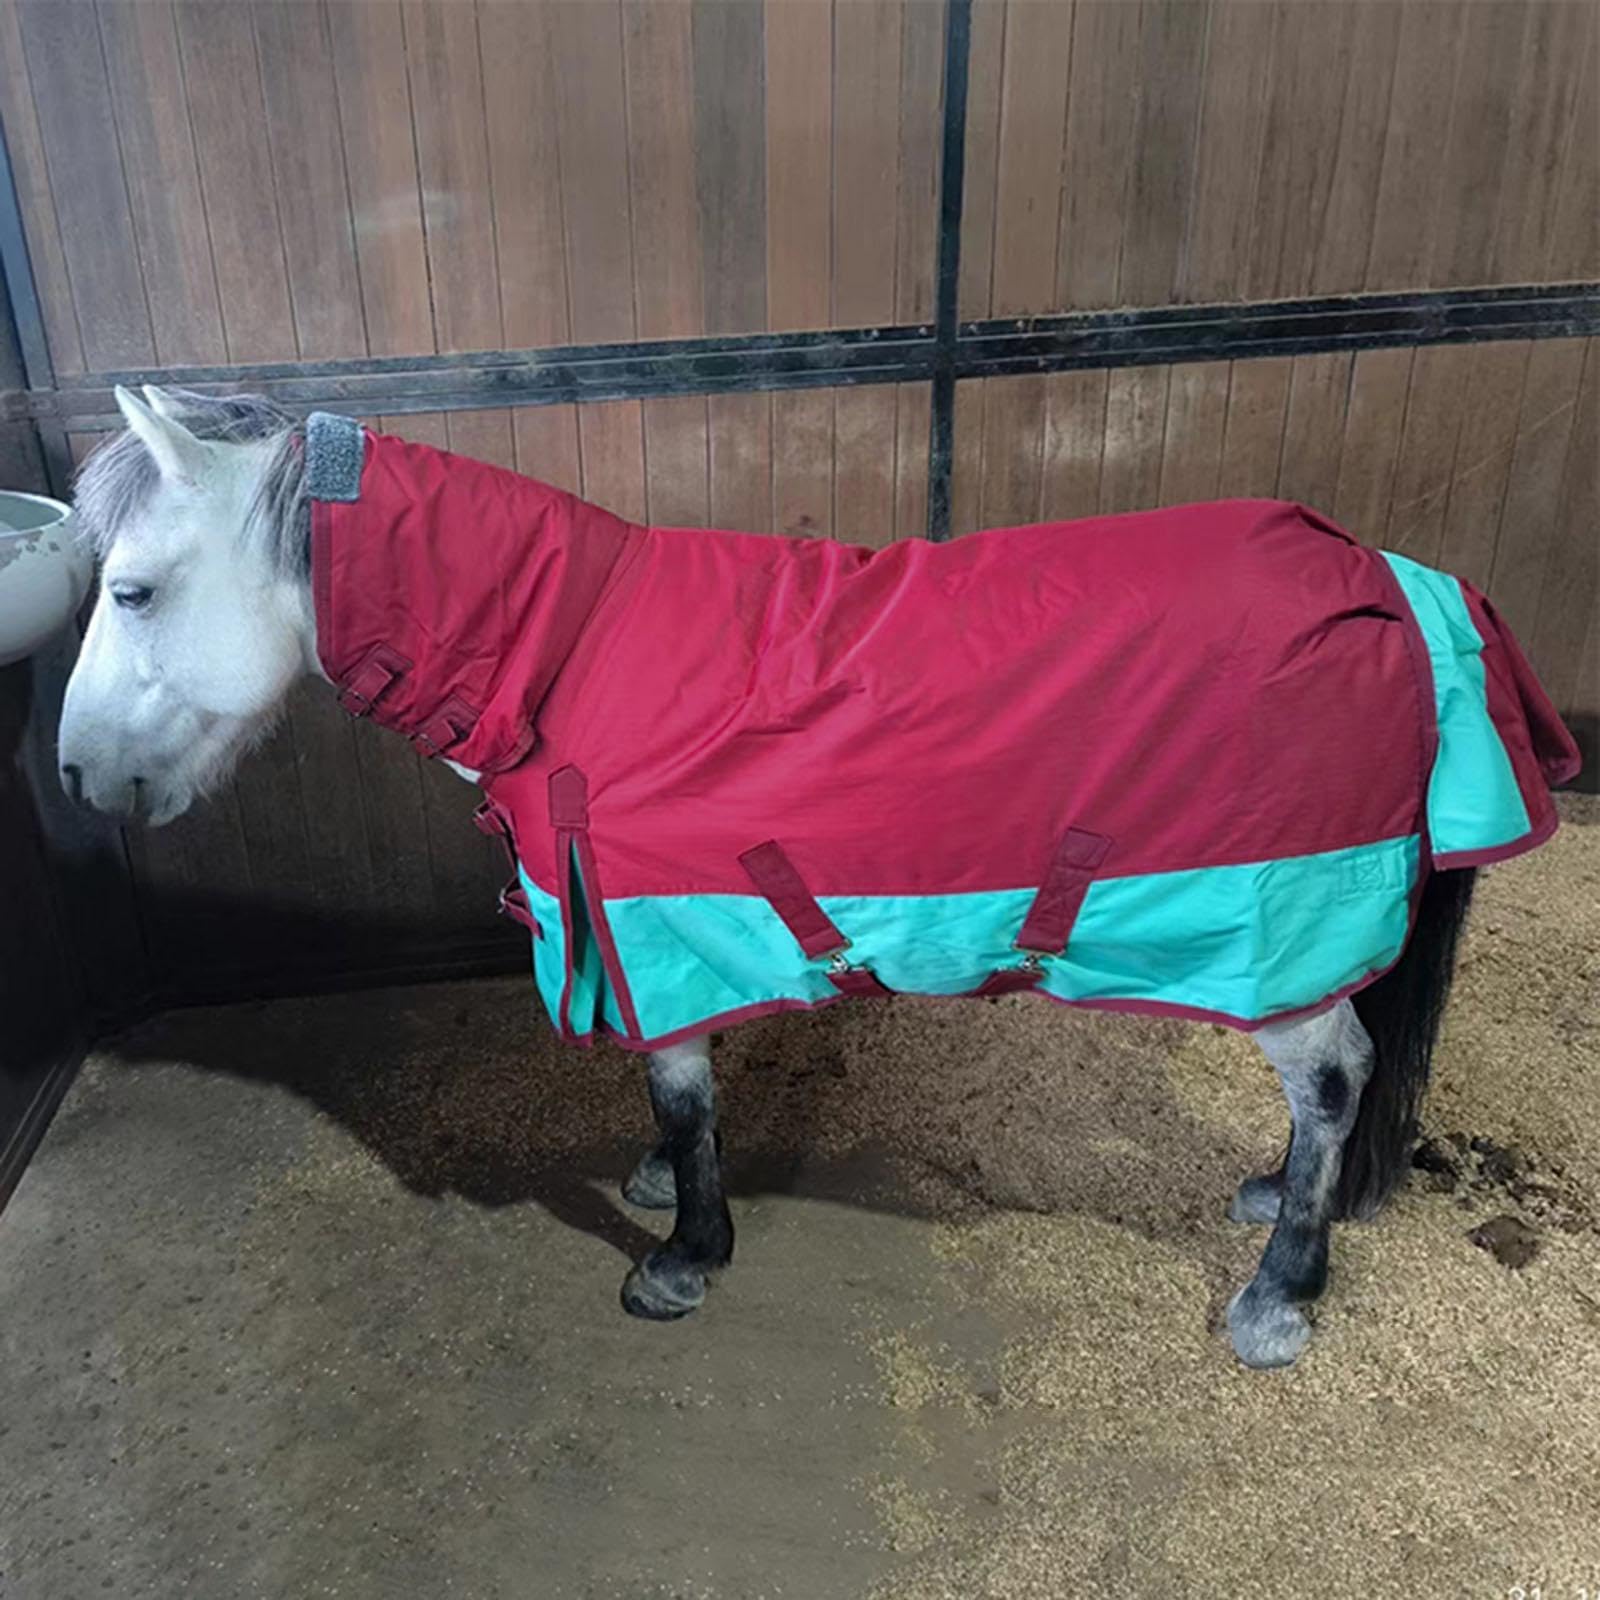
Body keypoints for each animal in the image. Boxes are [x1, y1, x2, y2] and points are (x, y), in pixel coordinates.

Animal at [56, 386, 1577, 1368]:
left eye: (131, 591)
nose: (72, 777)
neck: (569, 653)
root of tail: (1398, 579)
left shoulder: (655, 926)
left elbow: (680, 1096)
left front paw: (684, 1255)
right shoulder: (671, 925)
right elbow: (680, 1096)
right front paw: (666, 1195)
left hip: (1269, 946)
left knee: (1335, 1078)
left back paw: (1279, 1294)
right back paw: (1273, 1200)